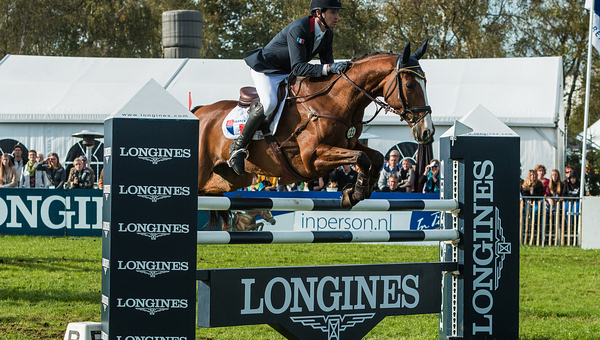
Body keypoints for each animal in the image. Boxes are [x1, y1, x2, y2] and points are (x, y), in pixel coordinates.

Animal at [192, 41, 432, 216]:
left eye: (426, 83)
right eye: (410, 85)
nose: (427, 131)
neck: (335, 101)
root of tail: (199, 112)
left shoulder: (350, 143)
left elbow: (375, 157)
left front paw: (362, 188)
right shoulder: (312, 159)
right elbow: (360, 157)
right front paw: (355, 192)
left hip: (226, 180)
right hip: (203, 172)